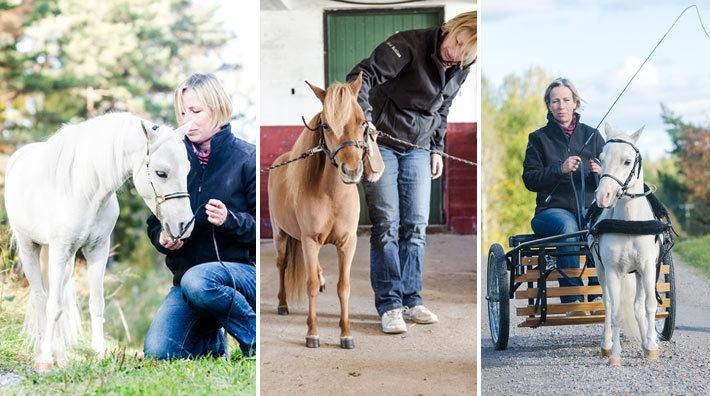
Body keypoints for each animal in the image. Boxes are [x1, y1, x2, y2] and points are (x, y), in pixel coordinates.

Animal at [5, 111, 196, 372]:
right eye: (161, 173)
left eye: (187, 171)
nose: (185, 225)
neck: (84, 191)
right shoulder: (60, 249)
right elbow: (52, 306)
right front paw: (44, 360)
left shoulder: (97, 251)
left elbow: (96, 304)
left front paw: (99, 355)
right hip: (30, 248)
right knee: (41, 298)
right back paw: (43, 354)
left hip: (64, 262)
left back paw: (61, 357)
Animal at [588, 124, 660, 366]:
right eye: (601, 158)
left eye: (627, 161)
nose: (603, 196)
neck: (630, 223)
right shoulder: (612, 270)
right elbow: (617, 311)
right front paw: (615, 355)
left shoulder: (647, 267)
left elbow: (649, 305)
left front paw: (651, 347)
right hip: (600, 269)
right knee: (609, 304)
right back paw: (606, 345)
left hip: (637, 272)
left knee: (637, 306)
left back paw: (646, 342)